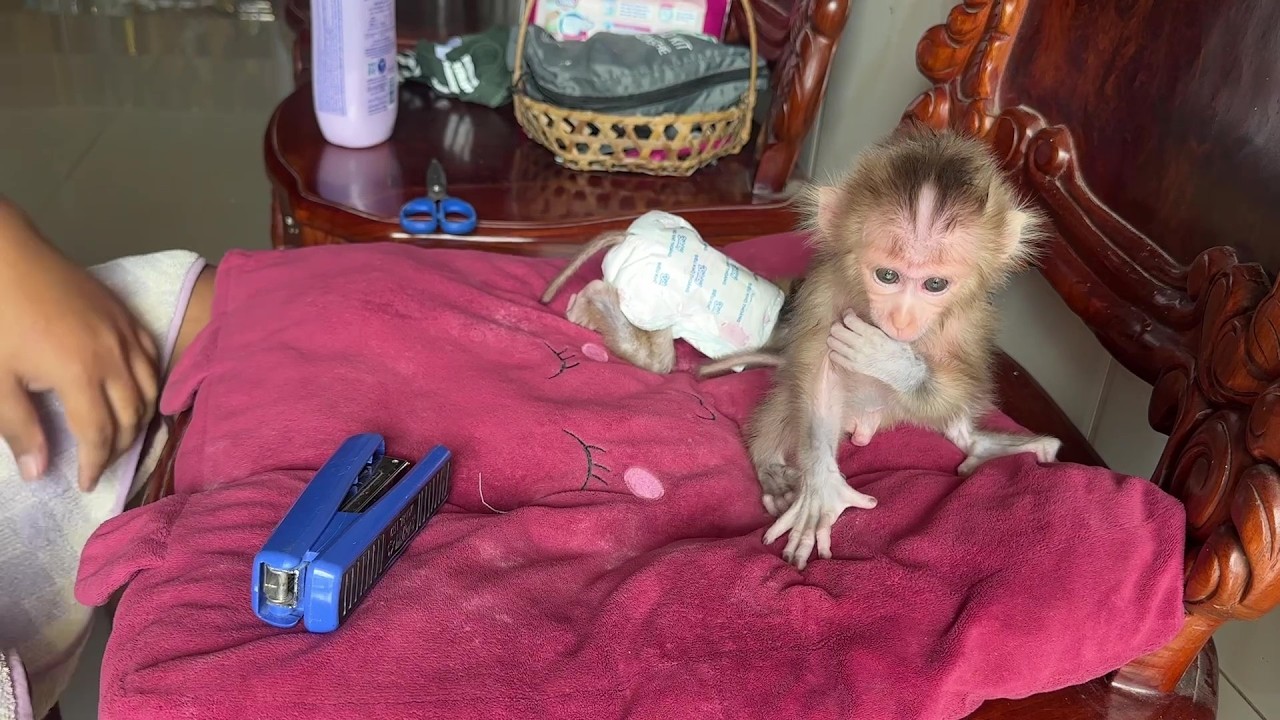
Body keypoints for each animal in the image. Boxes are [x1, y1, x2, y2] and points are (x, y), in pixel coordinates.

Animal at [740, 123, 1061, 570]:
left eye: (935, 284)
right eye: (887, 276)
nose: (903, 320)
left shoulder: (969, 322)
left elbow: (964, 380)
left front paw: (889, 361)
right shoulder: (825, 291)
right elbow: (820, 379)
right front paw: (821, 488)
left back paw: (982, 443)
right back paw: (770, 465)